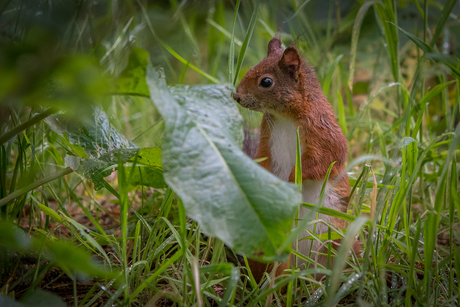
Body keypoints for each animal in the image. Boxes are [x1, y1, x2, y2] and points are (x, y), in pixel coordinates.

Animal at [232, 37, 350, 282]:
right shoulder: (266, 139)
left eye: (266, 82)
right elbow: (261, 160)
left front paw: (289, 182)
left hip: (333, 240)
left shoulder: (325, 135)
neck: (285, 116)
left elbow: (322, 162)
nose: (236, 96)